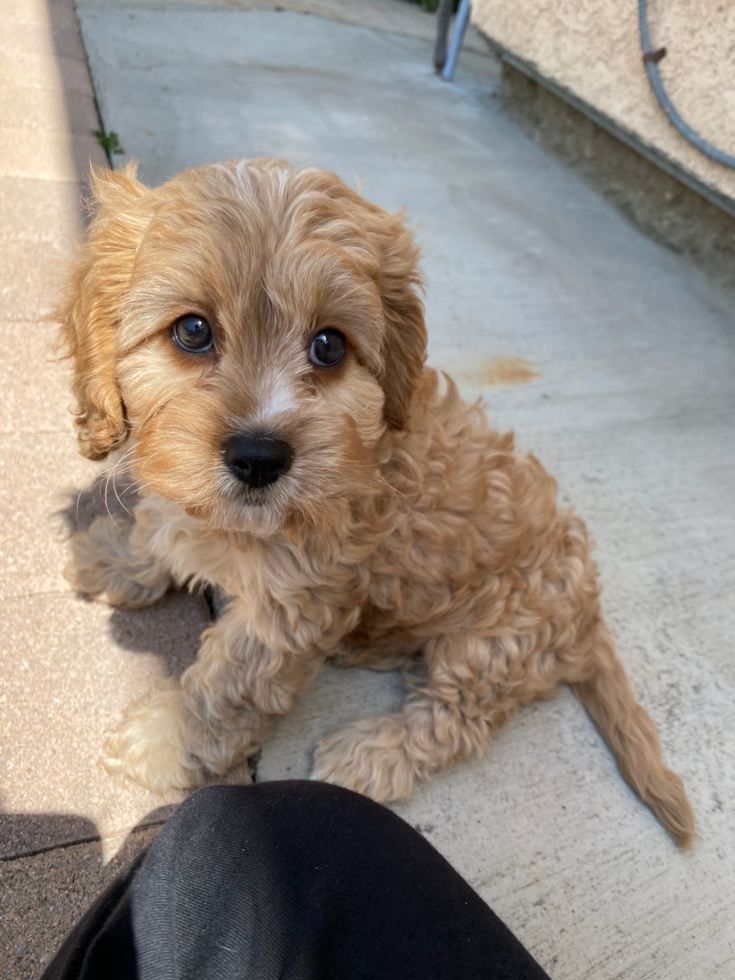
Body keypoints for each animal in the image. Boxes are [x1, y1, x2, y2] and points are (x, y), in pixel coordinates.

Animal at [59, 157, 696, 848]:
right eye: (193, 330)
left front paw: (167, 740)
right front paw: (117, 558)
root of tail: (589, 607)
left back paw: (373, 753)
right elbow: (157, 530)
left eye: (330, 346)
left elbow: (228, 686)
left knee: (457, 717)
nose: (259, 456)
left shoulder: (289, 605)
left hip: (496, 641)